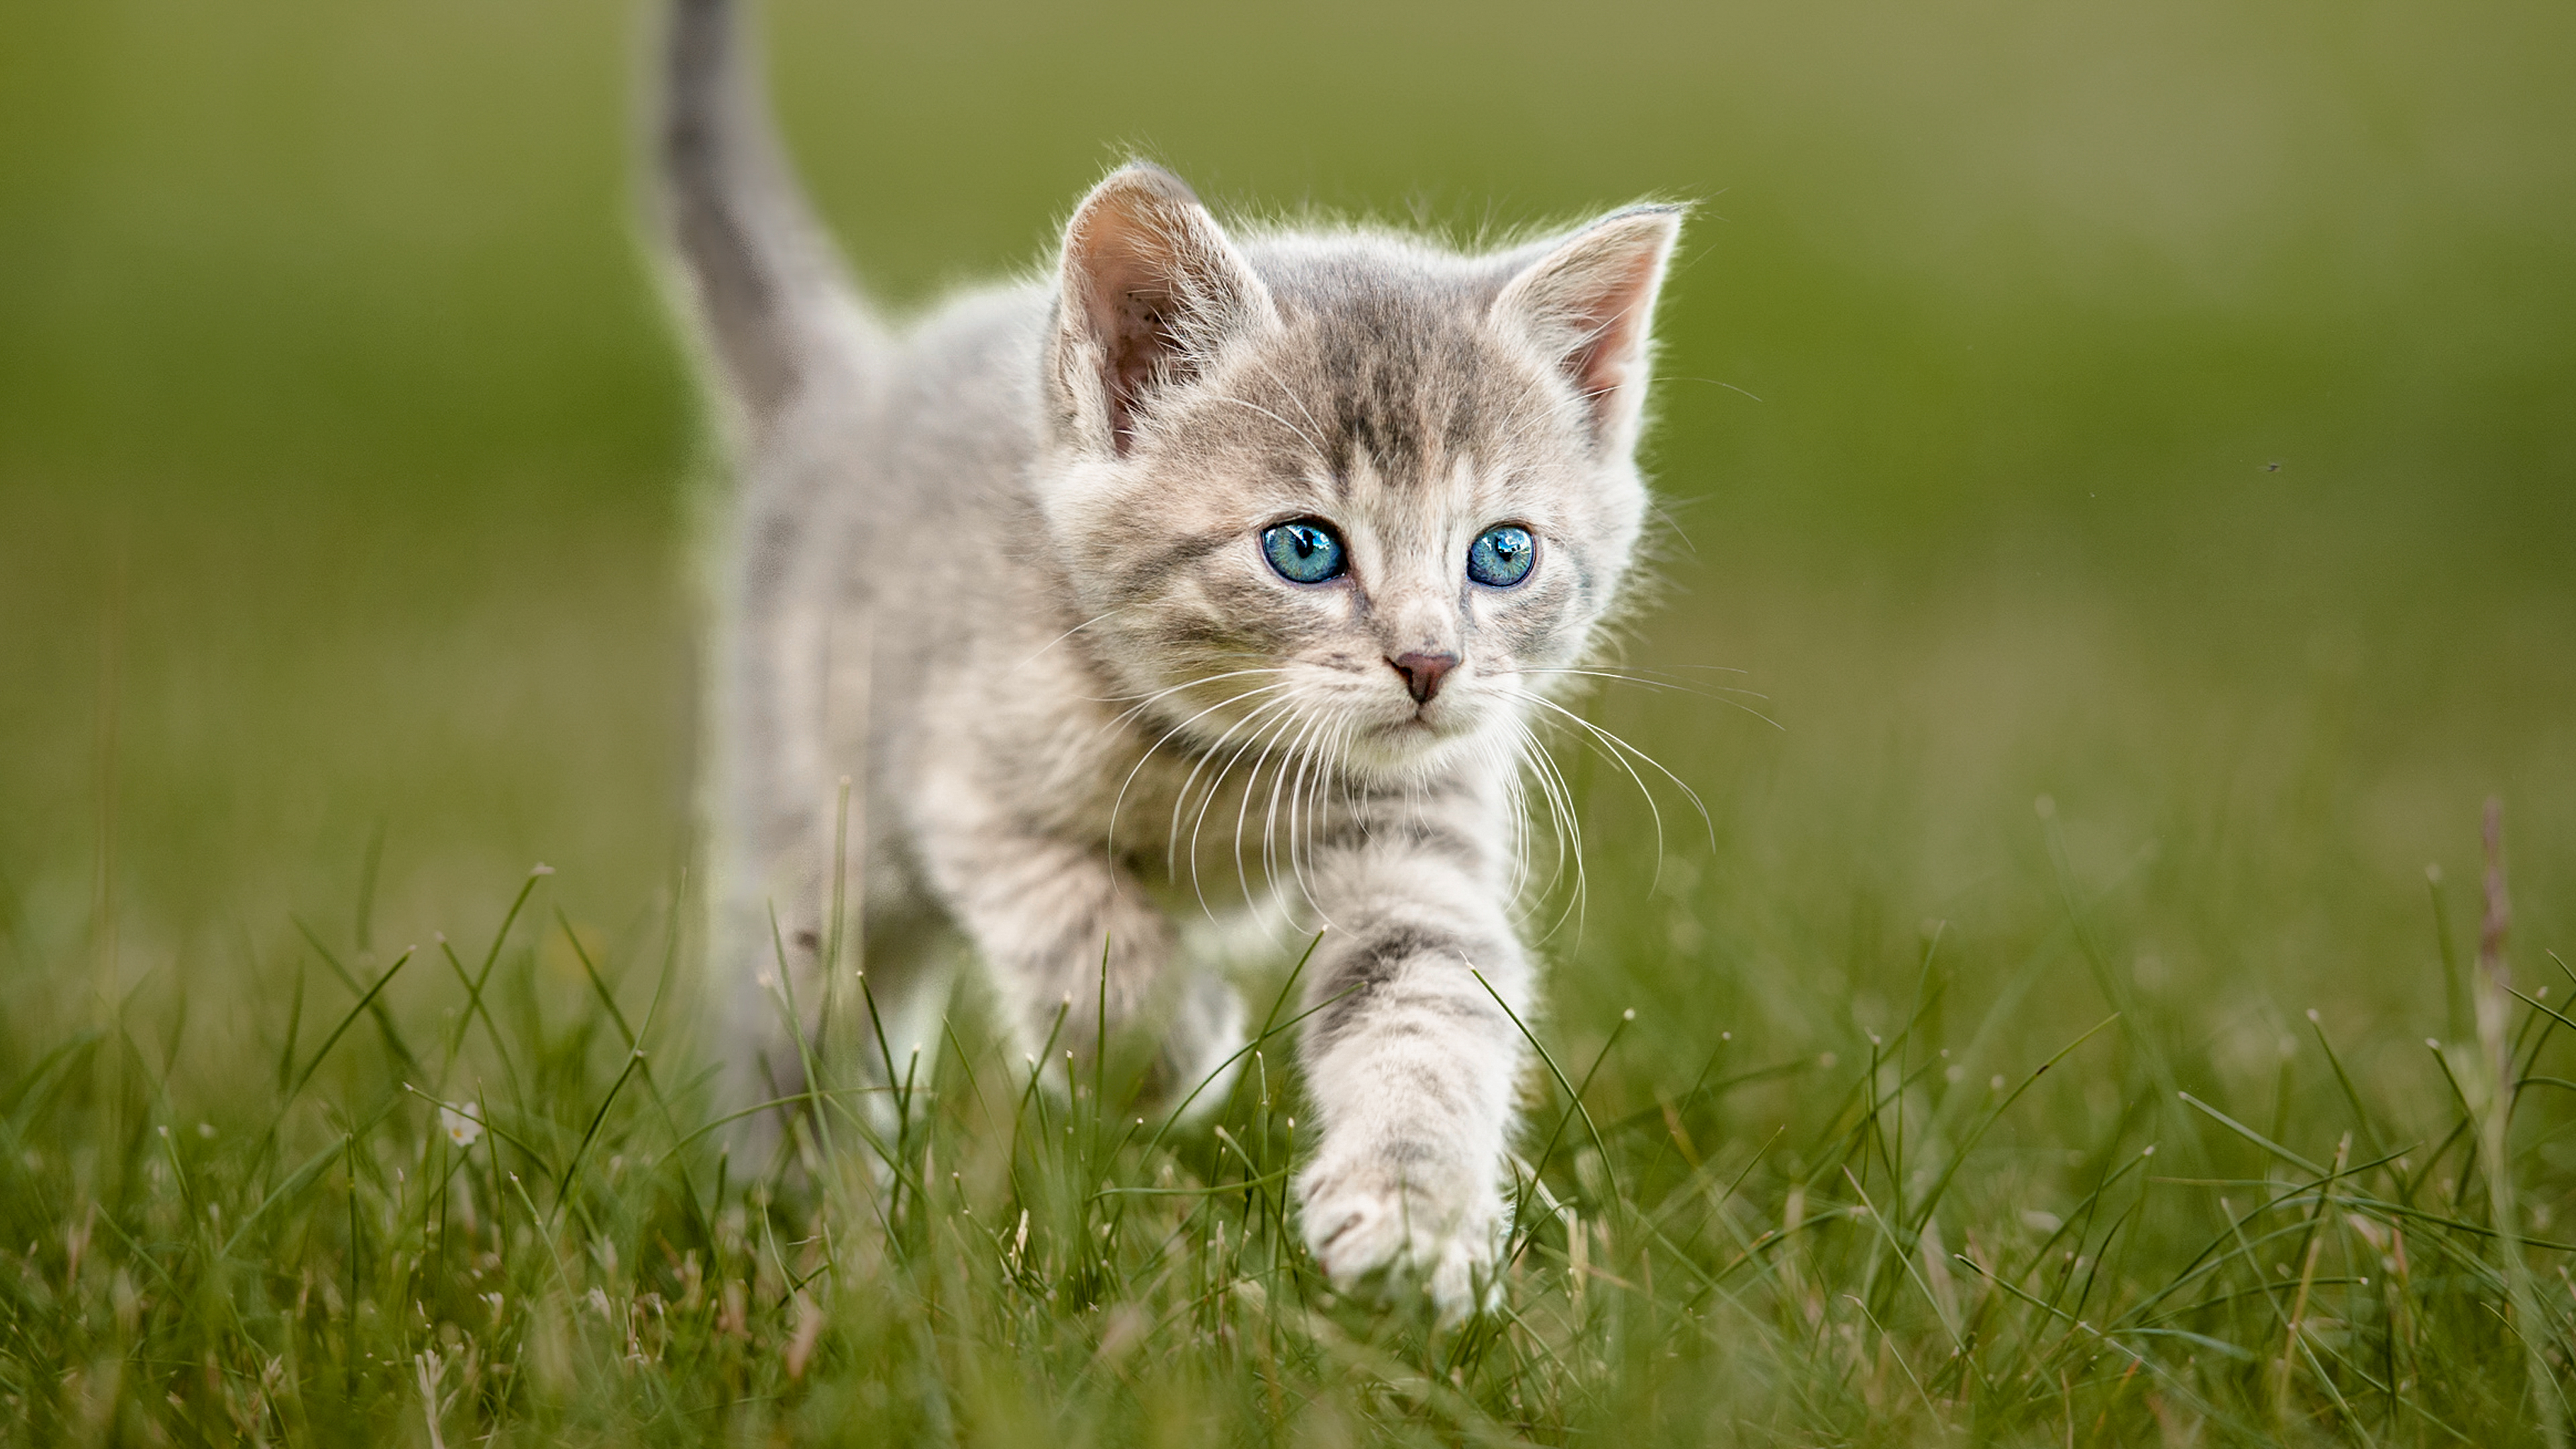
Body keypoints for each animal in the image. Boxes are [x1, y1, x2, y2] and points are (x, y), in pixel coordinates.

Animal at [654, 0, 1679, 1315]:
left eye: (1502, 554)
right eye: (1304, 546)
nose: (1428, 664)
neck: (1230, 762)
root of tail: (850, 388)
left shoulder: (1420, 844)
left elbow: (1430, 1009)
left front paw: (1410, 1219)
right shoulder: (962, 787)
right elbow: (1082, 937)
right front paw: (1176, 1049)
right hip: (813, 814)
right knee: (791, 1004)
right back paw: (783, 1197)